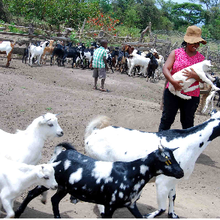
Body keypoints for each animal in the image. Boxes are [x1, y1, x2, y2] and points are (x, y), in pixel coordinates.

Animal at [13, 142, 182, 217]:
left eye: (174, 157)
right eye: (167, 160)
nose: (180, 173)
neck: (132, 173)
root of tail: (64, 153)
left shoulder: (131, 204)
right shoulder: (110, 205)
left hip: (64, 187)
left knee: (54, 200)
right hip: (49, 183)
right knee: (31, 194)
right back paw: (18, 212)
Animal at [81, 110, 220, 218]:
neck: (191, 142)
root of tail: (93, 133)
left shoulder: (173, 180)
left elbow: (173, 197)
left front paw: (172, 215)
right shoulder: (162, 182)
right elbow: (162, 208)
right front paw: (147, 216)